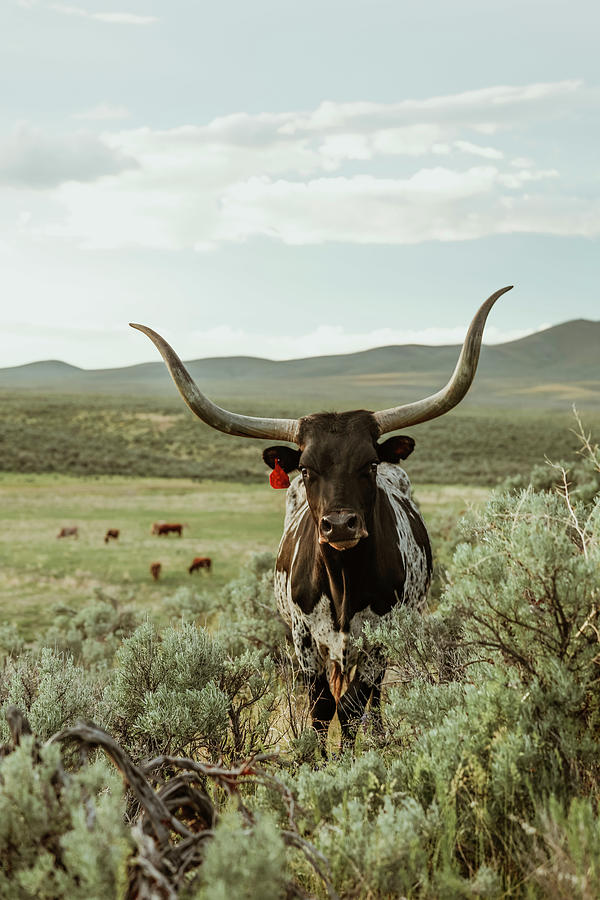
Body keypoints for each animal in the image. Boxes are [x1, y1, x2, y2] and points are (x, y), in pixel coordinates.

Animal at [131, 286, 510, 744]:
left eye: (369, 464)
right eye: (308, 470)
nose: (341, 524)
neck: (343, 581)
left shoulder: (379, 640)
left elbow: (352, 707)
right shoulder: (304, 639)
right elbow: (322, 707)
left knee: (372, 700)